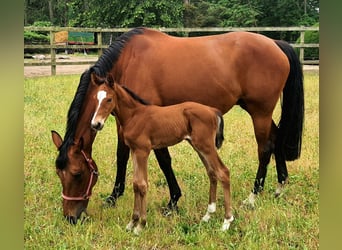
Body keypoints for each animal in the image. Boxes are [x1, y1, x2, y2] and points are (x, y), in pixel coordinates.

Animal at [89, 73, 232, 233]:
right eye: (95, 98)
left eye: (109, 99)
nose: (96, 124)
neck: (134, 115)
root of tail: (213, 110)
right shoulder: (134, 150)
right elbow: (136, 184)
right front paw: (132, 222)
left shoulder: (143, 151)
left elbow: (142, 185)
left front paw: (141, 225)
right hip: (199, 147)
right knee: (212, 173)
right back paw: (208, 215)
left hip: (206, 146)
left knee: (223, 172)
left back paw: (226, 221)